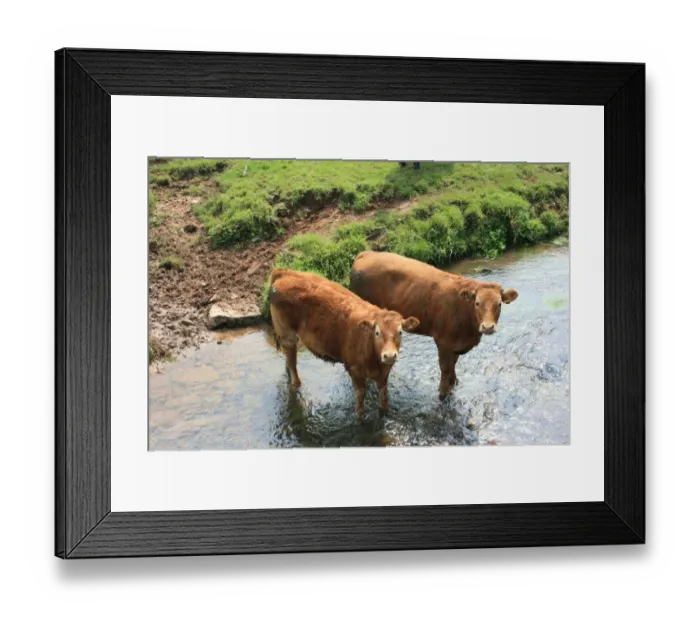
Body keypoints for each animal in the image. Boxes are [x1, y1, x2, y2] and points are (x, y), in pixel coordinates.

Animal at [268, 269, 420, 416]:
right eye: (377, 333)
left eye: (400, 332)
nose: (389, 356)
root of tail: (285, 272)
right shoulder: (355, 371)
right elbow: (360, 399)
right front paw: (360, 417)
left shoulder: (384, 375)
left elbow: (384, 397)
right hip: (287, 334)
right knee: (292, 363)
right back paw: (295, 384)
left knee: (288, 359)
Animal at [350, 251, 518, 398]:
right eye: (477, 303)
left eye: (499, 304)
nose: (488, 327)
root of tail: (366, 253)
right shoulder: (443, 341)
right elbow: (445, 367)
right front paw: (443, 393)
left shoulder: (456, 343)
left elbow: (453, 364)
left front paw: (453, 382)